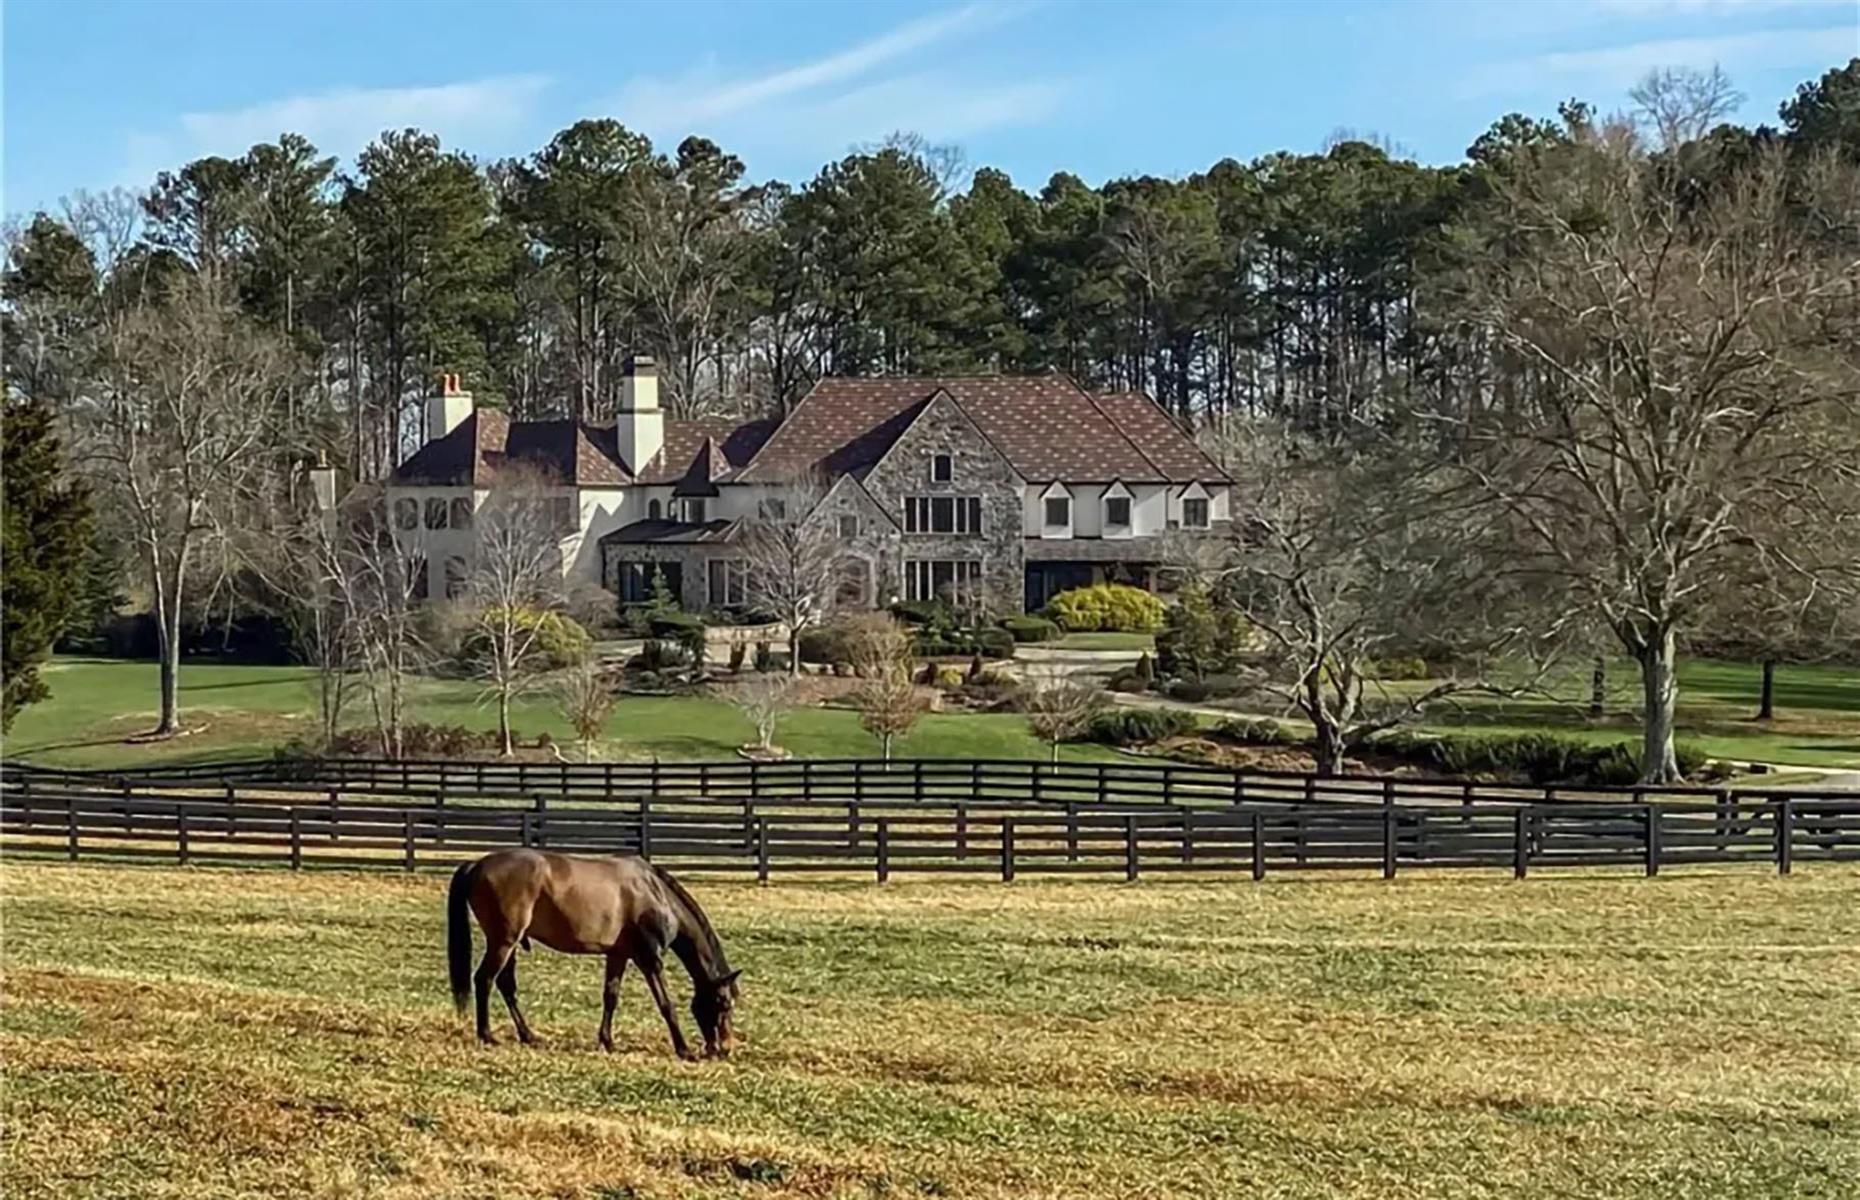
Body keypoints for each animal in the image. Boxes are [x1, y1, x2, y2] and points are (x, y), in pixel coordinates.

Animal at [444, 840, 740, 1056]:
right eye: (724, 1002)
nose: (723, 1049)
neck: (654, 892)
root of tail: (477, 864)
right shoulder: (649, 959)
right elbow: (666, 1003)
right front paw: (684, 1049)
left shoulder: (618, 955)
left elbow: (611, 996)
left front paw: (607, 1041)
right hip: (504, 942)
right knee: (484, 979)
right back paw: (487, 1035)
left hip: (510, 943)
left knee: (506, 985)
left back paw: (528, 1036)